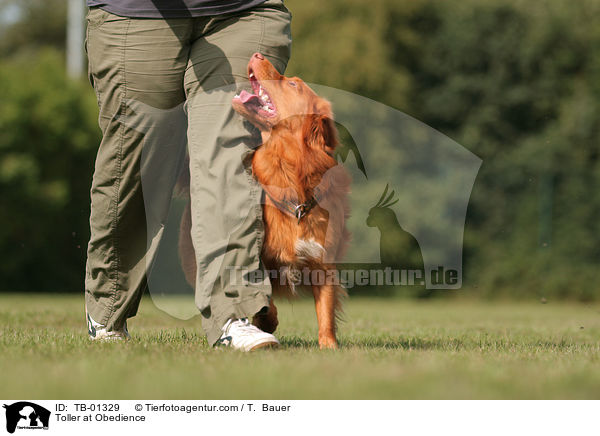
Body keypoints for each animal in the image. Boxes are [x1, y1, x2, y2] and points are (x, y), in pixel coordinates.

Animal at [178, 52, 350, 350]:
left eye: (293, 84)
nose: (258, 55)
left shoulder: (323, 262)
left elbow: (326, 310)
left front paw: (329, 346)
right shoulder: (258, 256)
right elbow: (261, 294)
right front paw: (266, 321)